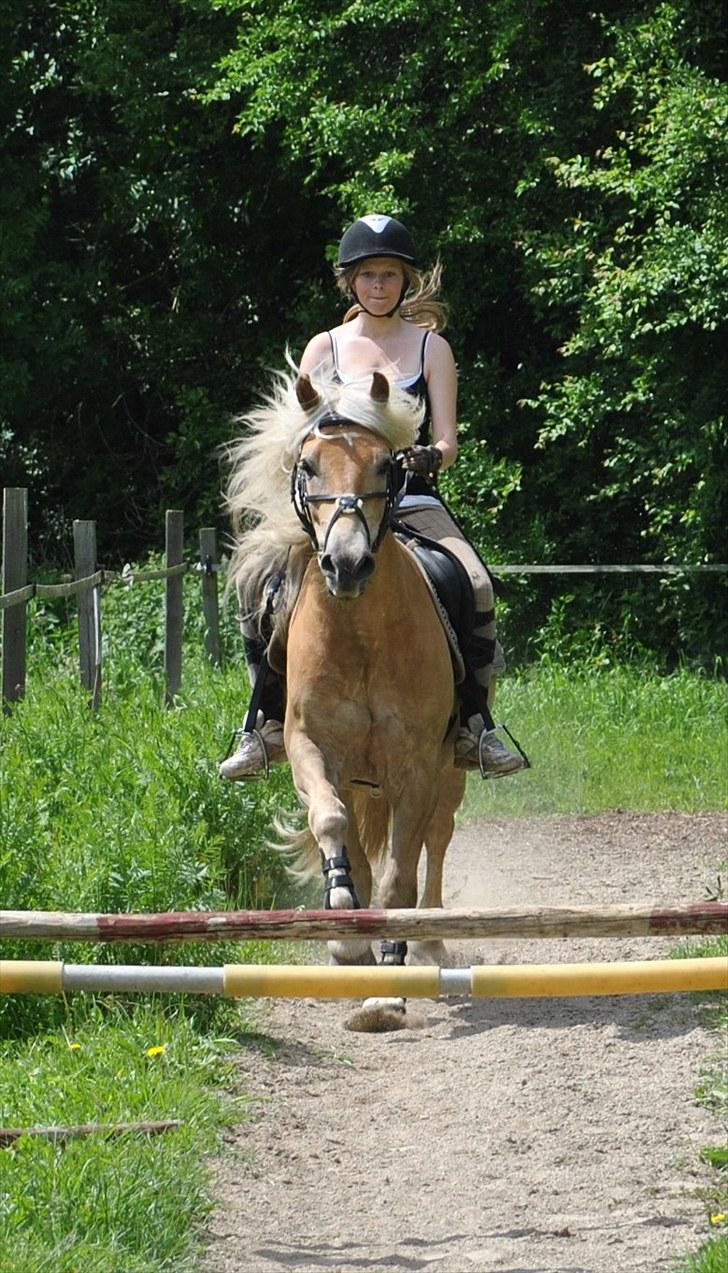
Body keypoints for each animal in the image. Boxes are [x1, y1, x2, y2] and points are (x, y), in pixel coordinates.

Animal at [226, 364, 465, 1028]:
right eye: (307, 466)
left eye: (387, 465)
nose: (348, 564)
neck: (359, 636)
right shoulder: (313, 750)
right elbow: (334, 827)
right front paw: (344, 926)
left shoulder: (416, 766)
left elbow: (398, 879)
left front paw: (387, 989)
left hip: (450, 772)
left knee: (437, 841)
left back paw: (432, 941)